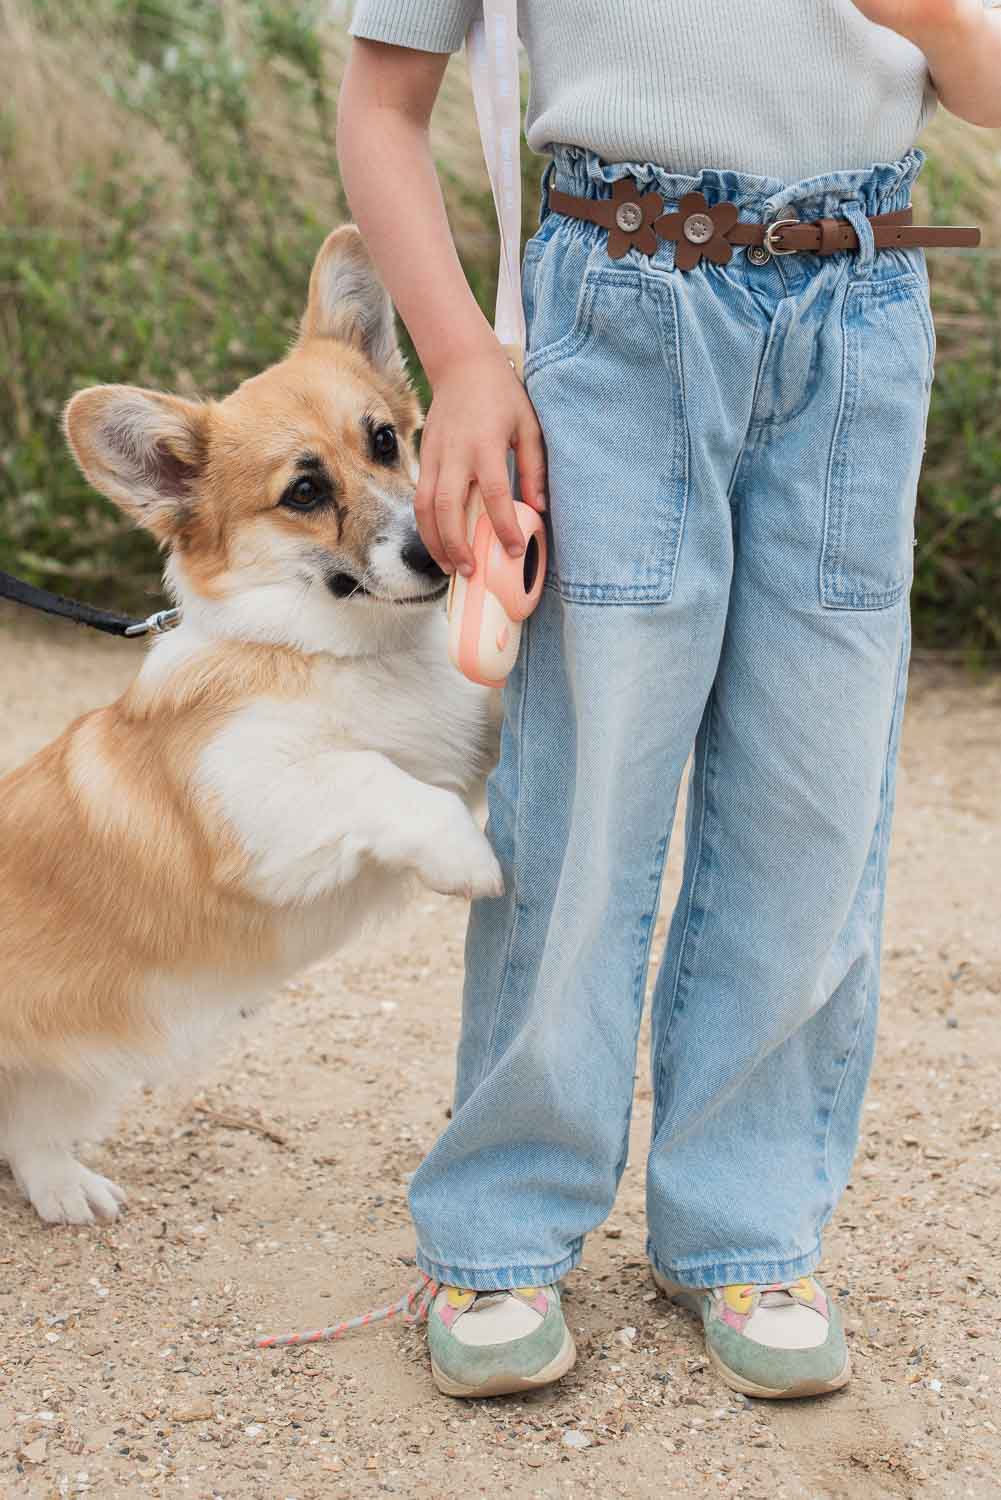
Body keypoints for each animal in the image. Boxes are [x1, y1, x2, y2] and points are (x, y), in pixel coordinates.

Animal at [0, 228, 501, 1224]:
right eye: (303, 491)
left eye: (384, 439)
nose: (434, 553)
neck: (341, 654)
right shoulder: (257, 803)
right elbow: (378, 780)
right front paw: (466, 859)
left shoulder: (460, 741)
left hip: (81, 1069)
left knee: (25, 1130)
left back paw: (68, 1187)